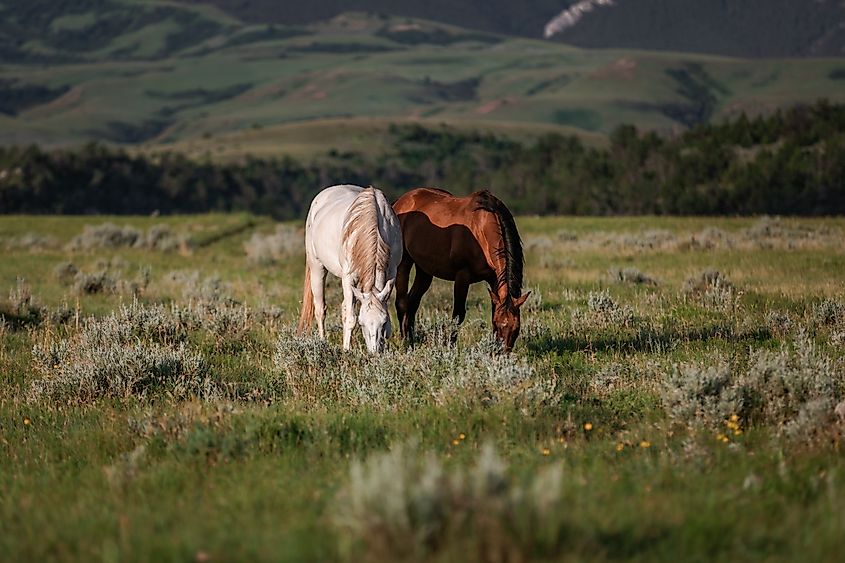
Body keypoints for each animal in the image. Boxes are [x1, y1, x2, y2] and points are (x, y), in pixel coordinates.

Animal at [296, 185, 402, 352]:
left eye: (383, 322)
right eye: (362, 323)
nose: (374, 353)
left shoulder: (391, 273)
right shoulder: (348, 278)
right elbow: (351, 318)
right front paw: (346, 350)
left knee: (344, 308)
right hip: (317, 267)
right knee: (320, 310)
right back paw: (322, 342)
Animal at [390, 189, 528, 352]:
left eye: (516, 329)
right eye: (499, 326)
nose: (503, 353)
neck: (481, 227)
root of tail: (399, 202)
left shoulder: (495, 280)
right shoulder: (462, 276)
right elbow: (458, 315)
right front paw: (450, 346)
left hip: (424, 270)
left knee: (413, 302)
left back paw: (412, 341)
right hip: (404, 262)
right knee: (402, 303)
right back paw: (405, 342)